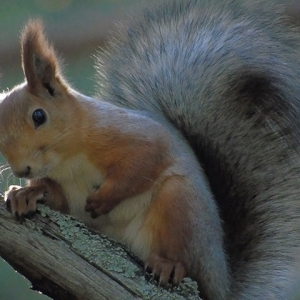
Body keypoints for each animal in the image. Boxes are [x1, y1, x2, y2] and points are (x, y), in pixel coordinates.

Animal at [1, 0, 300, 300]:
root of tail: (222, 280)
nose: (22, 170)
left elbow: (143, 163)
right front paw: (27, 193)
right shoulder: (67, 190)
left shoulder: (132, 136)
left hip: (180, 203)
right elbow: (60, 200)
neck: (67, 161)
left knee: (186, 260)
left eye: (39, 116)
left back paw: (168, 264)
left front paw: (104, 198)